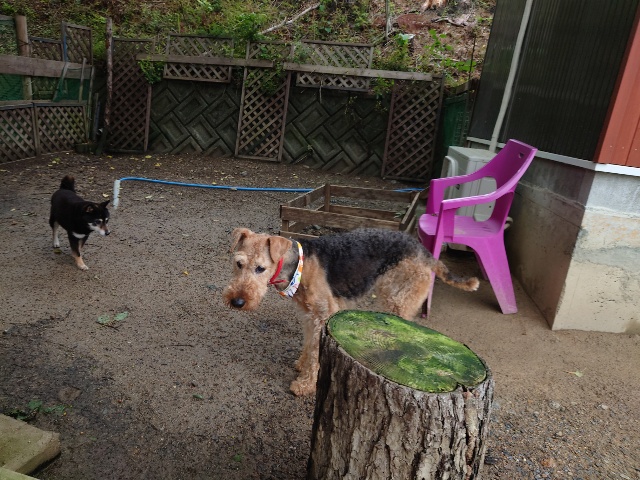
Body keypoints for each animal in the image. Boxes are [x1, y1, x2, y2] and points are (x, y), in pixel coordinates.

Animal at [223, 227, 479, 396]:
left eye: (260, 268)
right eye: (238, 263)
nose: (237, 301)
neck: (298, 266)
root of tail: (425, 252)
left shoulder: (323, 314)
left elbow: (315, 353)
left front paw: (305, 385)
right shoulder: (309, 315)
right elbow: (308, 345)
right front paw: (302, 365)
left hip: (398, 300)